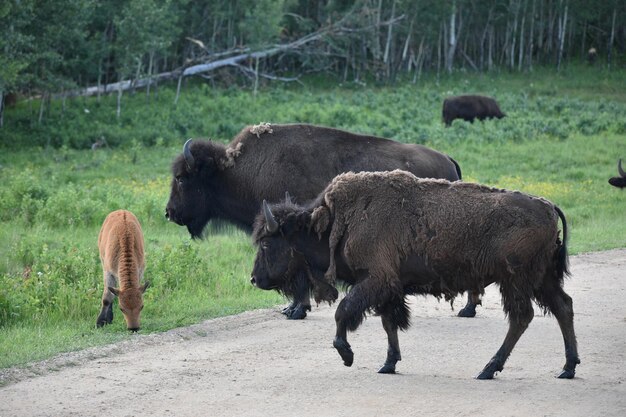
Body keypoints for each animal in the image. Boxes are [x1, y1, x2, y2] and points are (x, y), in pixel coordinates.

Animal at [163, 122, 460, 318]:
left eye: (181, 178)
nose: (169, 212)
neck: (238, 171)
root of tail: (448, 159)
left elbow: (299, 274)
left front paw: (297, 310)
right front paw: (291, 308)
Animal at [250, 170, 580, 380]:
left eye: (266, 243)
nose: (254, 279)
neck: (333, 223)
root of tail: (548, 206)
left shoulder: (375, 280)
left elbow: (344, 311)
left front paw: (347, 355)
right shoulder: (388, 287)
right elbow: (389, 322)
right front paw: (388, 364)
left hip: (516, 280)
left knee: (522, 317)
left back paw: (488, 369)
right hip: (541, 280)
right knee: (563, 307)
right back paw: (567, 368)